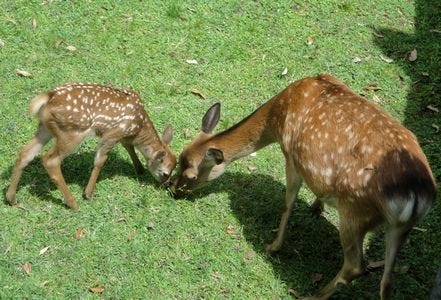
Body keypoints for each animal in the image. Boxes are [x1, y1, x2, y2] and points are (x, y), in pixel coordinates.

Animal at [6, 82, 175, 211]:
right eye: (166, 173)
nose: (166, 185)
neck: (139, 126)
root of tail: (48, 97)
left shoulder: (123, 136)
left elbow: (128, 146)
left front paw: (139, 169)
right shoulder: (112, 134)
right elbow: (101, 160)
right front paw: (88, 193)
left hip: (45, 128)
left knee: (25, 153)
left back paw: (11, 198)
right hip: (72, 132)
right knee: (50, 160)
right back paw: (73, 204)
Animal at [170, 74, 434, 298]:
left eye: (191, 174)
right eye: (179, 157)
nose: (173, 190)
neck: (277, 115)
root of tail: (416, 194)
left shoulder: (291, 156)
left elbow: (288, 203)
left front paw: (273, 246)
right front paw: (317, 205)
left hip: (355, 213)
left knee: (356, 266)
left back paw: (313, 295)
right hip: (400, 228)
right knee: (387, 281)